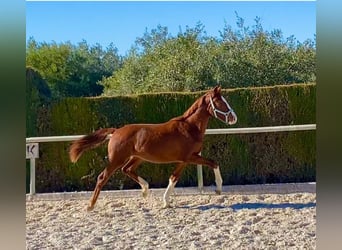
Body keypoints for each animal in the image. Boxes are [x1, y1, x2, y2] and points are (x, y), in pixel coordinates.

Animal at [68, 86, 236, 211]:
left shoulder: (185, 160)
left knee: (127, 169)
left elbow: (174, 177)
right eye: (220, 102)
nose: (234, 118)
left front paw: (166, 202)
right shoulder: (189, 157)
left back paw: (145, 190)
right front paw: (218, 189)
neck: (189, 128)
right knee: (103, 177)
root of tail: (116, 131)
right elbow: (213, 163)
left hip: (137, 158)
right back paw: (90, 206)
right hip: (117, 159)